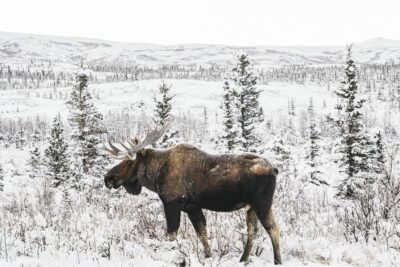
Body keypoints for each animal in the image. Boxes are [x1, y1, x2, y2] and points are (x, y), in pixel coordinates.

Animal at [104, 121, 282, 266]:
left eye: (129, 162)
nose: (108, 178)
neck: (156, 175)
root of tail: (274, 169)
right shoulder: (192, 207)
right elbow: (202, 234)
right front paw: (208, 257)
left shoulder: (172, 203)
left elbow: (171, 235)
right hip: (250, 207)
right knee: (253, 231)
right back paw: (243, 259)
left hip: (262, 203)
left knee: (273, 229)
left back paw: (277, 261)